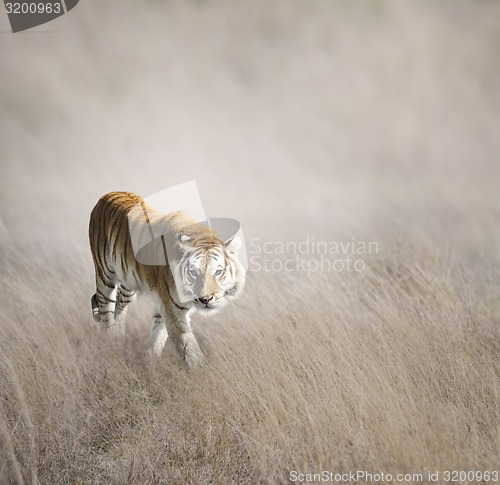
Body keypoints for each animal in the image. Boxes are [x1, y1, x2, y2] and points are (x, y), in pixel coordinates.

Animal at [89, 191, 246, 364]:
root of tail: (107, 194)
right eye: (193, 273)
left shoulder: (165, 307)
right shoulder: (173, 310)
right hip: (105, 277)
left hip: (128, 284)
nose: (206, 299)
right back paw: (110, 347)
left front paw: (149, 362)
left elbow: (157, 340)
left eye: (218, 272)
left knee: (119, 308)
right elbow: (190, 351)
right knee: (106, 312)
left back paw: (118, 339)